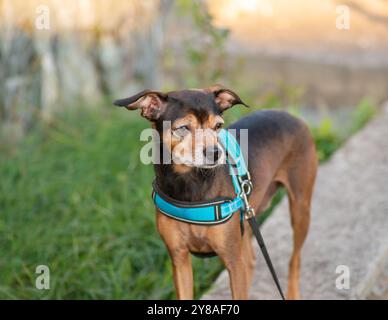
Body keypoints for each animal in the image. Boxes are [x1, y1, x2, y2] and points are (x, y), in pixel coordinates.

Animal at [114, 85, 318, 300]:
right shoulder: (179, 259)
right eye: (183, 128)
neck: (189, 185)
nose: (215, 153)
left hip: (300, 210)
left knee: (294, 260)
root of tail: (292, 116)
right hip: (247, 217)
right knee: (251, 260)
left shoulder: (233, 261)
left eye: (218, 126)